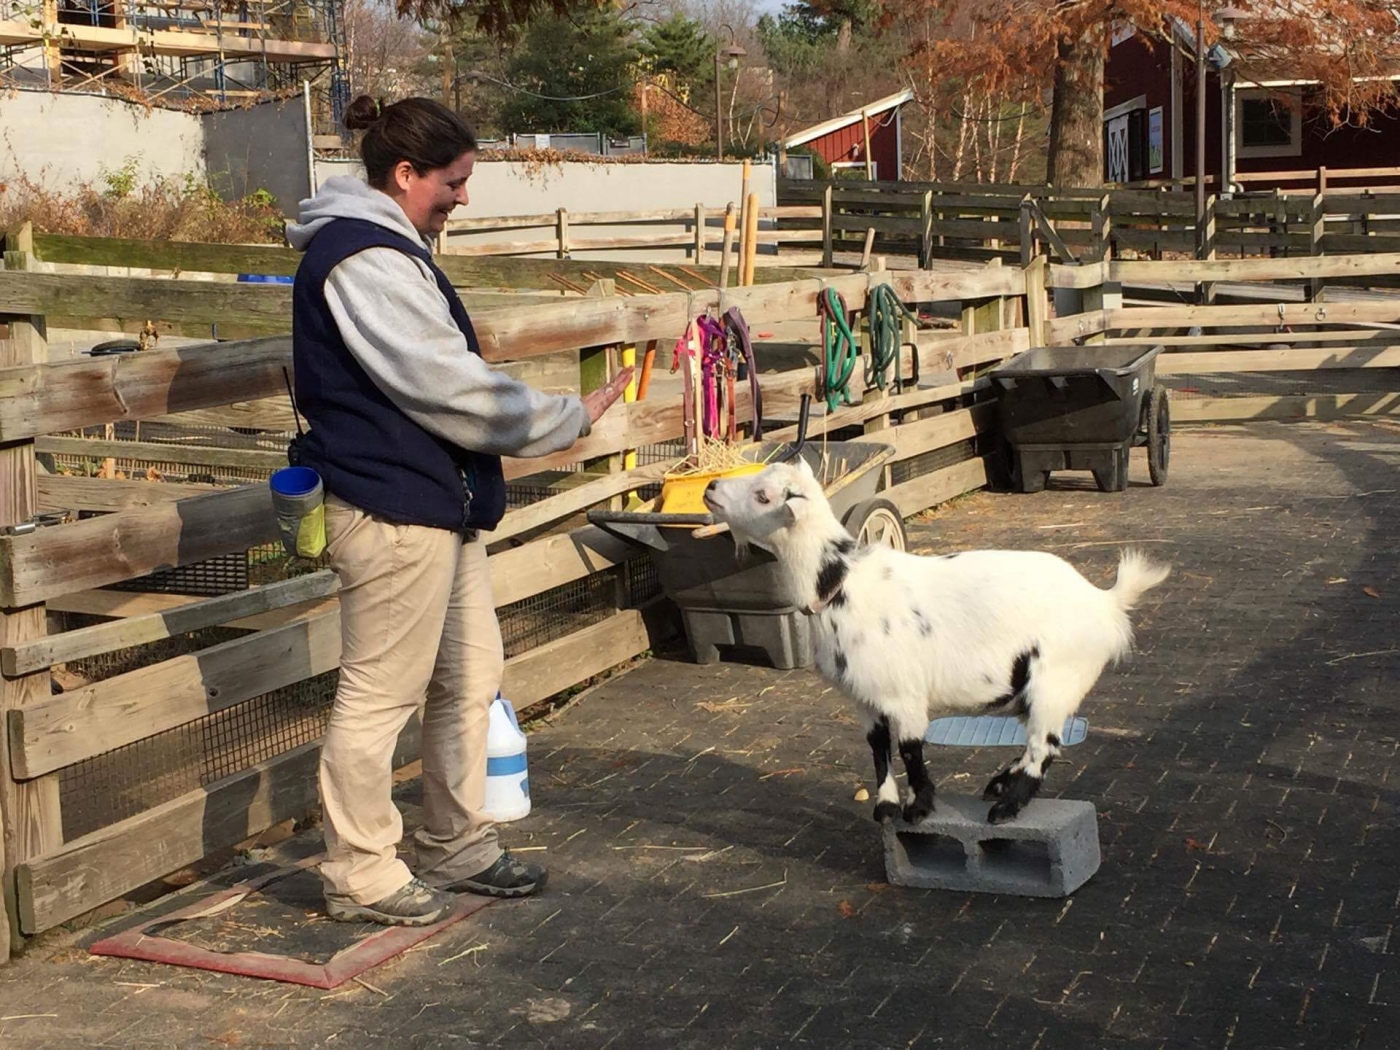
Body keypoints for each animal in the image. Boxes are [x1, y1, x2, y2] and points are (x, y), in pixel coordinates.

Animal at [700, 459, 1170, 828]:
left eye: (763, 496)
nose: (710, 487)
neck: (841, 583)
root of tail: (1106, 601)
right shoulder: (863, 697)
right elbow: (878, 748)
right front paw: (886, 808)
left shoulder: (904, 694)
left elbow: (910, 749)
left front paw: (919, 808)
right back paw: (999, 784)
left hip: (1055, 679)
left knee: (1045, 746)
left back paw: (1005, 807)